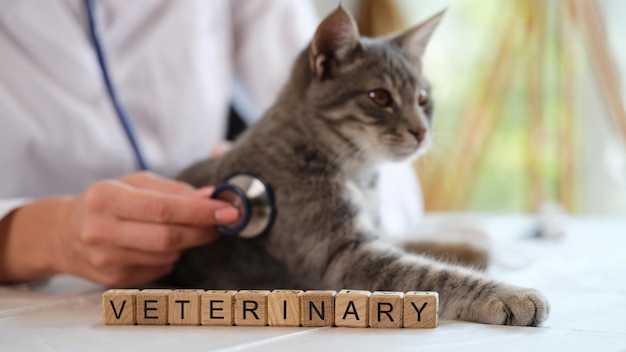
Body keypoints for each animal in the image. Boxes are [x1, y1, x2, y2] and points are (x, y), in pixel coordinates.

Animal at [165, 7, 544, 328]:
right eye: (380, 97)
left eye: (422, 98)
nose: (421, 131)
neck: (360, 177)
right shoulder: (343, 257)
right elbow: (433, 273)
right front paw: (509, 293)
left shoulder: (377, 233)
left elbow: (422, 242)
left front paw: (471, 243)